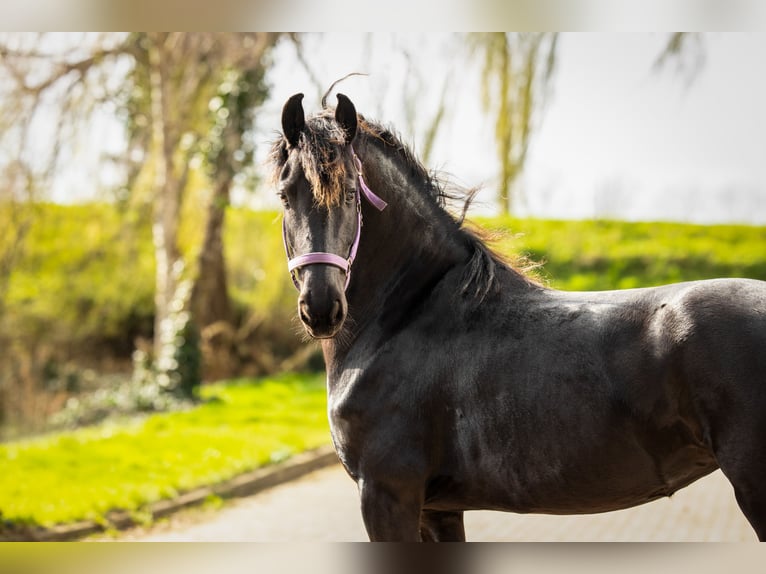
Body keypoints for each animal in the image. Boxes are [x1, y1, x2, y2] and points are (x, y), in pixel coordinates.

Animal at [271, 92, 766, 541]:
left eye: (351, 193)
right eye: (284, 194)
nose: (321, 307)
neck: (405, 317)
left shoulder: (387, 495)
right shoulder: (438, 509)